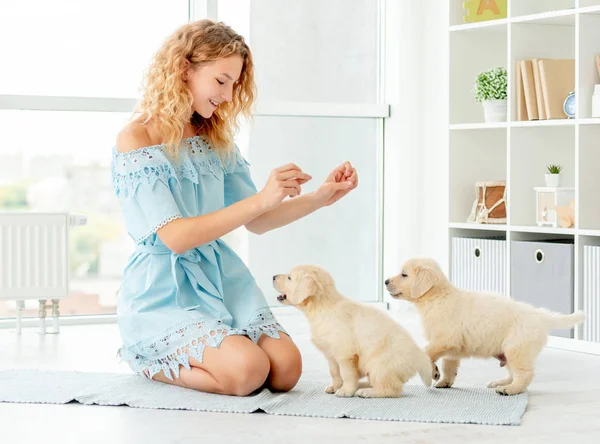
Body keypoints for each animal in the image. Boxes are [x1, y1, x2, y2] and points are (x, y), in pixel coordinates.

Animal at [274, 266, 434, 398]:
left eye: (289, 277)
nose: (273, 276)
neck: (322, 308)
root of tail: (418, 356)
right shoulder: (331, 354)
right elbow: (335, 373)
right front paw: (335, 387)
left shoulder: (345, 354)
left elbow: (346, 374)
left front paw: (346, 390)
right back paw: (361, 385)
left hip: (379, 365)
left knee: (393, 388)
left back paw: (366, 392)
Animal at [384, 256, 584, 396]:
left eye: (404, 275)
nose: (385, 281)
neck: (437, 298)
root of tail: (540, 315)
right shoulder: (451, 347)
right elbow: (449, 365)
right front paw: (443, 380)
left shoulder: (445, 339)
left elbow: (426, 352)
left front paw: (433, 371)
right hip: (508, 352)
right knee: (513, 373)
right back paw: (501, 383)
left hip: (517, 349)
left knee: (524, 375)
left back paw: (510, 390)